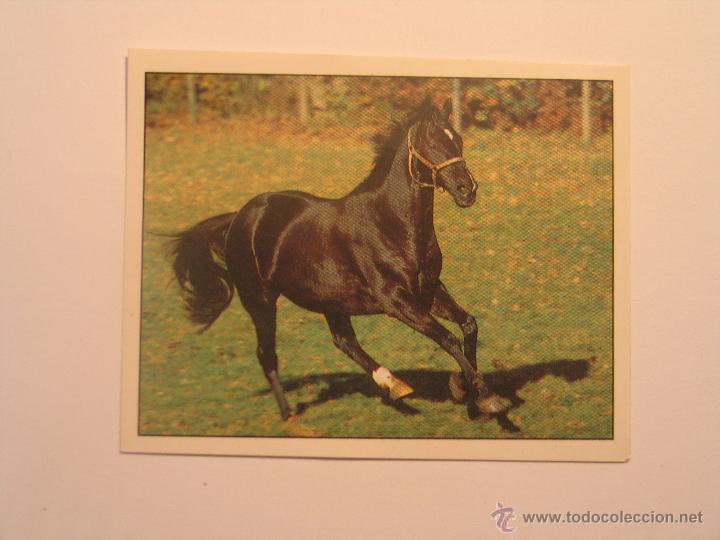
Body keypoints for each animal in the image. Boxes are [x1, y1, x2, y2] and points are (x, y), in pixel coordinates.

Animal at [170, 98, 511, 420]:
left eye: (458, 140)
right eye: (432, 144)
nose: (468, 189)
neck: (391, 223)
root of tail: (238, 218)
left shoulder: (429, 291)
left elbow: (468, 325)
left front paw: (467, 387)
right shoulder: (397, 301)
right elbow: (450, 339)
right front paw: (487, 397)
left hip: (329, 300)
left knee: (343, 340)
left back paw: (394, 385)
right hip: (260, 301)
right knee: (267, 354)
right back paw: (288, 412)